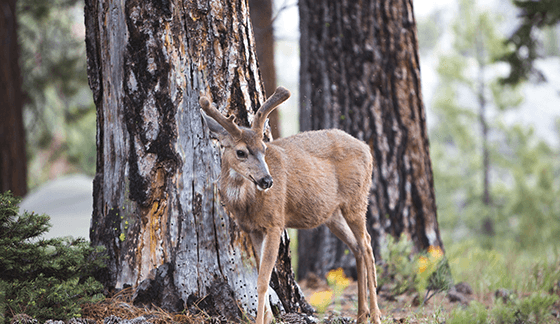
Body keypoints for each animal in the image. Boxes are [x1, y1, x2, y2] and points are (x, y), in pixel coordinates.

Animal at [198, 86, 380, 324]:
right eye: (241, 152)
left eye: (264, 148)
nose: (267, 180)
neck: (247, 204)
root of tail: (367, 149)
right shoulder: (253, 229)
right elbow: (262, 277)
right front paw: (268, 318)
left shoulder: (275, 223)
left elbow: (263, 280)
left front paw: (262, 320)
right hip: (333, 215)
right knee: (357, 247)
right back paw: (361, 314)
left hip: (356, 199)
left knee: (367, 245)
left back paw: (375, 315)